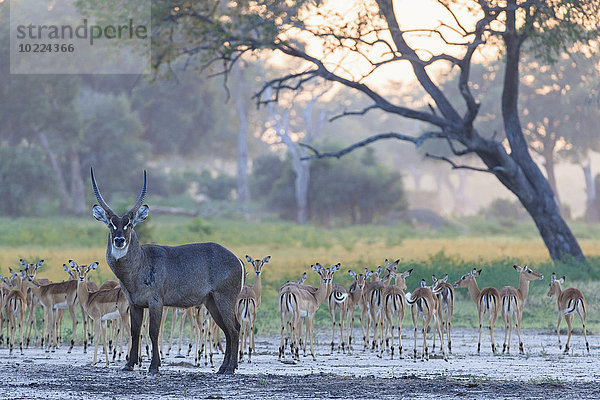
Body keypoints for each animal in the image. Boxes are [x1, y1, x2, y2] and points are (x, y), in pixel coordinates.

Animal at [90, 168, 243, 372]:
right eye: (111, 224)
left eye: (129, 224)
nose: (119, 240)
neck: (140, 264)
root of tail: (237, 259)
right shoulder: (134, 304)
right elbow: (135, 332)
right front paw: (129, 364)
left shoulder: (156, 302)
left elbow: (153, 332)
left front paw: (154, 365)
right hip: (211, 302)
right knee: (227, 329)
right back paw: (222, 368)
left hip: (225, 298)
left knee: (234, 329)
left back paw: (231, 368)